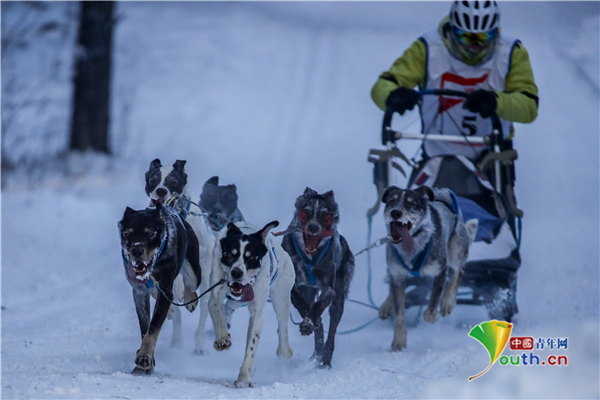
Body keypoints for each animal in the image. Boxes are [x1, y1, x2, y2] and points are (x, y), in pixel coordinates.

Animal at [119, 203, 202, 376]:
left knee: (190, 284)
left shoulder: (165, 291)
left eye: (151, 233)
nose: (136, 251)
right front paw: (146, 360)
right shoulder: (139, 293)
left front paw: (144, 357)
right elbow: (145, 327)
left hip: (193, 272)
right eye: (127, 233)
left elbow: (153, 327)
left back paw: (190, 299)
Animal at [145, 159, 216, 354]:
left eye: (174, 181)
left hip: (206, 282)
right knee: (176, 312)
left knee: (203, 310)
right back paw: (176, 340)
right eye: (153, 179)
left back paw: (200, 344)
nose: (161, 191)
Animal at [209, 222, 296, 388]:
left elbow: (251, 346)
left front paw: (243, 379)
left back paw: (284, 351)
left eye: (251, 258)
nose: (236, 273)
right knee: (227, 308)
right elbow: (215, 308)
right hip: (237, 302)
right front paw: (222, 338)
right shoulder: (216, 290)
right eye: (229, 255)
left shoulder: (257, 312)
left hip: (281, 297)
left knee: (282, 326)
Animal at [282, 188, 356, 368]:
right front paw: (309, 321)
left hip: (339, 298)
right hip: (309, 291)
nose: (313, 227)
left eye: (326, 214)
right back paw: (316, 352)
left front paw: (309, 322)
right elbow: (302, 304)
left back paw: (325, 360)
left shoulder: (329, 290)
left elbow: (320, 304)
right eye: (305, 211)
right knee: (320, 325)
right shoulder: (291, 286)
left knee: (332, 331)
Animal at [380, 184, 478, 350]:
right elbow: (399, 314)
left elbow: (431, 308)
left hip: (456, 250)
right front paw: (399, 341)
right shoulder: (397, 274)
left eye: (412, 203)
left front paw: (436, 313)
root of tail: (443, 190)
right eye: (391, 201)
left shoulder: (440, 270)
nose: (395, 212)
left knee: (458, 271)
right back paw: (386, 306)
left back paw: (447, 302)